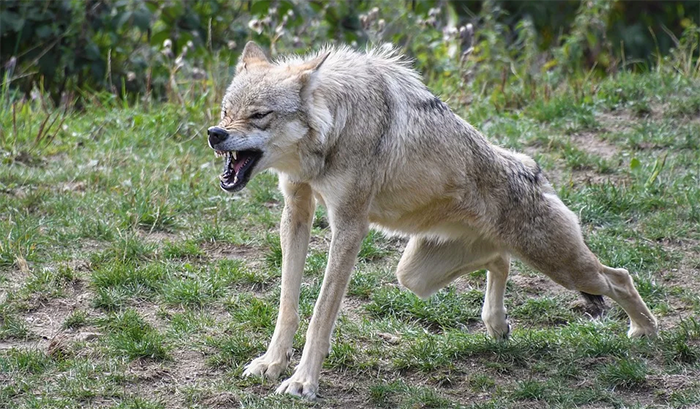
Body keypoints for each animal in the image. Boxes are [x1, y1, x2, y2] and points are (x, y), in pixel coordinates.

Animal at [207, 41, 658, 399]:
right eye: (227, 111)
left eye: (259, 115)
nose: (215, 133)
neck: (335, 126)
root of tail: (532, 168)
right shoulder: (296, 211)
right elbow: (288, 304)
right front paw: (271, 363)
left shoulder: (349, 225)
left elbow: (320, 313)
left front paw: (303, 382)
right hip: (415, 275)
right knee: (500, 260)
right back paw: (497, 325)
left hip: (563, 267)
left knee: (619, 276)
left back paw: (646, 332)